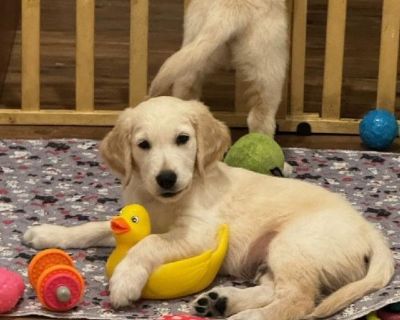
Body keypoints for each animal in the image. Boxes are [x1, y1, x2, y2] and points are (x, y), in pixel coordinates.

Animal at [24, 97, 394, 320]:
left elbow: (150, 243)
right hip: (273, 254)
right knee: (274, 289)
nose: (166, 178)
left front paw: (126, 280)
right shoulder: (132, 219)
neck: (166, 202)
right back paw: (220, 302)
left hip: (293, 244)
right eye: (143, 145)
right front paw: (47, 233)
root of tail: (370, 231)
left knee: (298, 299)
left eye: (183, 139)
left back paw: (247, 316)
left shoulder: (199, 233)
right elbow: (95, 227)